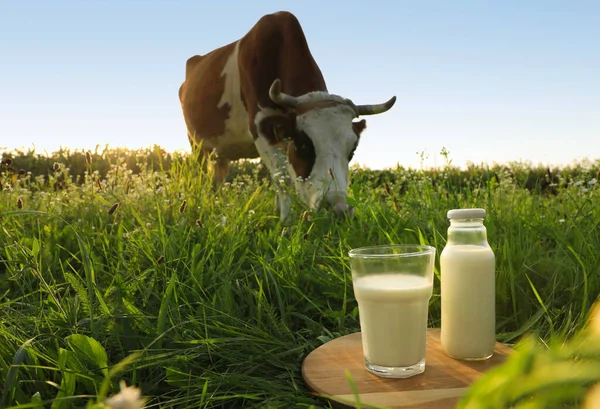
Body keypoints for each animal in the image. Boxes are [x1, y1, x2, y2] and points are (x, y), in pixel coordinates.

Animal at [178, 11, 396, 222]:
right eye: (303, 146)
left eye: (352, 150)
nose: (339, 210)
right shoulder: (261, 127)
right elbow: (282, 179)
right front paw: (286, 223)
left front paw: (277, 215)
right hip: (196, 144)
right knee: (202, 177)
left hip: (221, 153)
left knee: (218, 178)